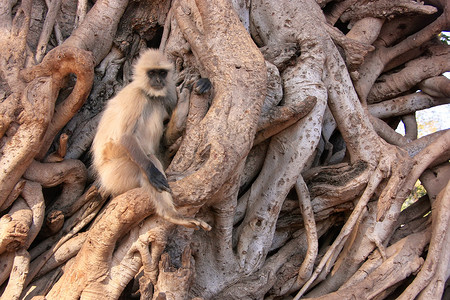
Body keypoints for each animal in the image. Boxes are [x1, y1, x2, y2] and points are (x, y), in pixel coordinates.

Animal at [92, 48, 212, 230]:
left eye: (162, 73)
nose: (158, 80)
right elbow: (125, 137)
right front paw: (152, 173)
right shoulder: (135, 96)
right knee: (148, 157)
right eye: (151, 73)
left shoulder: (167, 92)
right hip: (116, 173)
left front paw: (194, 87)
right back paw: (171, 214)